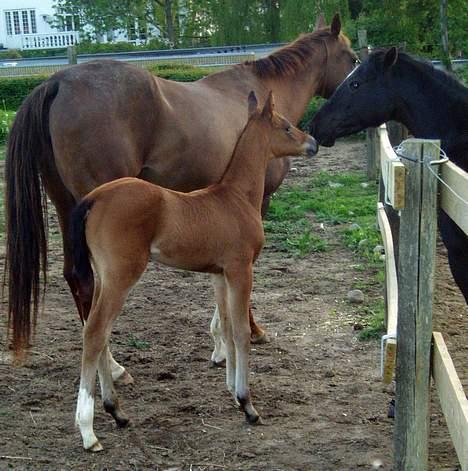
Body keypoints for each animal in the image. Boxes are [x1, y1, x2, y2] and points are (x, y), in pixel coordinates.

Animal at [3, 13, 356, 376]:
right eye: (353, 59)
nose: (319, 135)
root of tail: (57, 82)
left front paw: (221, 341)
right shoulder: (259, 205)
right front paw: (248, 331)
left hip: (66, 206)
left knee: (76, 277)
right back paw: (112, 367)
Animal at [71, 90, 316, 452]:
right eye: (286, 127)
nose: (313, 142)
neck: (236, 198)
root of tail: (94, 198)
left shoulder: (219, 273)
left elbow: (225, 327)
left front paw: (232, 391)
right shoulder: (241, 269)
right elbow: (240, 332)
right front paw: (248, 404)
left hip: (104, 277)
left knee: (97, 329)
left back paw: (117, 412)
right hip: (121, 275)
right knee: (95, 332)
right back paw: (89, 431)